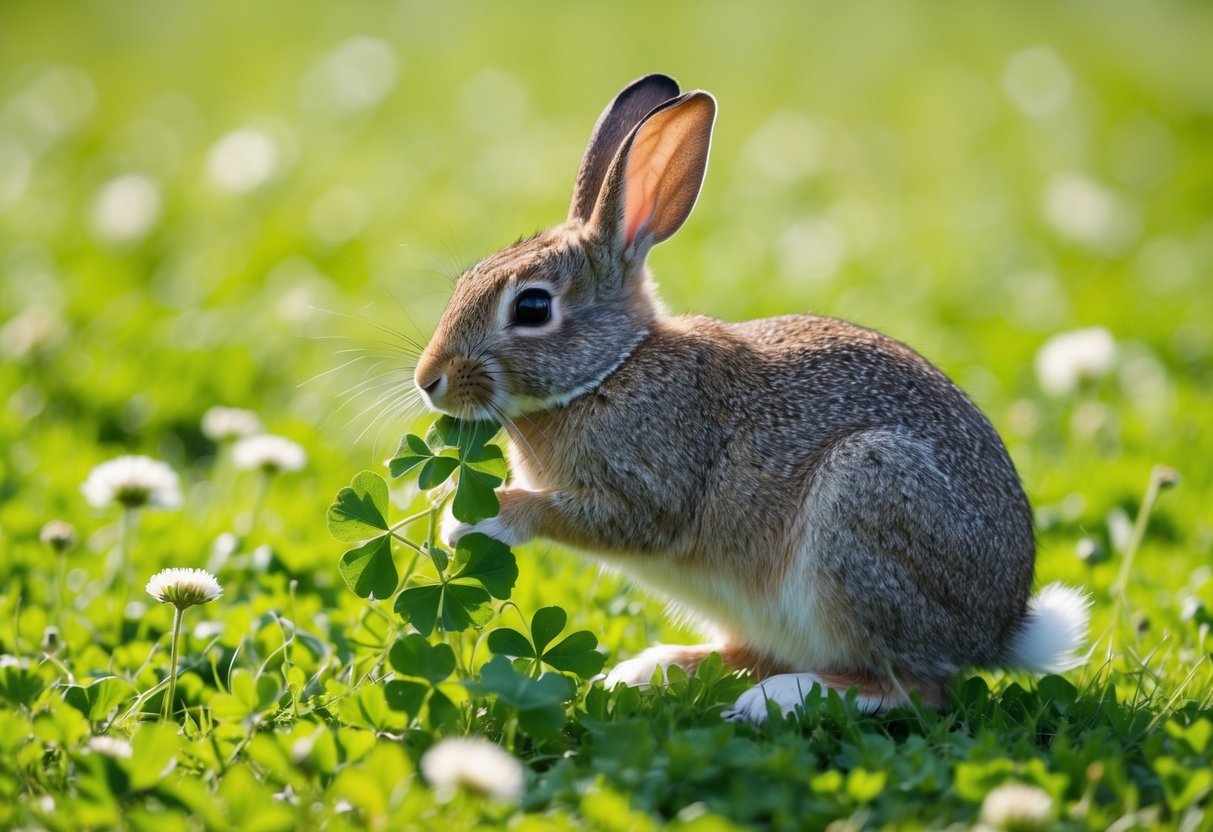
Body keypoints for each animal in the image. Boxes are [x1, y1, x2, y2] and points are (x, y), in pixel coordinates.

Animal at [413, 73, 1089, 724]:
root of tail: (999, 631)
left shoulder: (653, 489)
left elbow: (586, 515)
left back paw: (776, 700)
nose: (428, 380)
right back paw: (652, 669)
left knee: (915, 686)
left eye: (532, 308)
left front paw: (477, 518)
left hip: (866, 508)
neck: (614, 368)